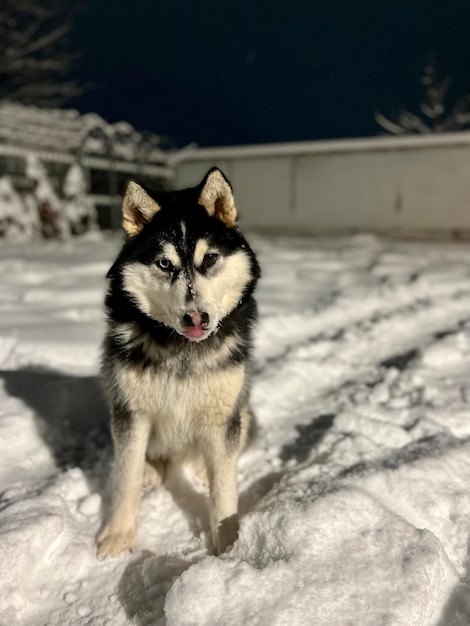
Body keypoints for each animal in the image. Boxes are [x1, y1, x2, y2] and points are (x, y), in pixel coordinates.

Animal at [97, 166, 258, 556]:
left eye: (210, 259)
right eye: (164, 263)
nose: (196, 317)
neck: (181, 348)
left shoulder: (223, 414)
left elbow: (224, 488)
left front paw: (228, 544)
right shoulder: (131, 411)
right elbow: (125, 477)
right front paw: (118, 536)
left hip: (241, 408)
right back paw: (152, 471)